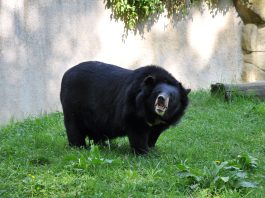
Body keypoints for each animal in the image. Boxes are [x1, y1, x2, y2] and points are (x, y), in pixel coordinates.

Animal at [59, 61, 189, 154]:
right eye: (156, 93)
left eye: (171, 96)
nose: (161, 99)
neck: (152, 113)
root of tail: (66, 73)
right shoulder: (133, 108)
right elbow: (137, 131)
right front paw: (143, 152)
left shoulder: (161, 123)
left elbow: (154, 134)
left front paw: (151, 148)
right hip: (73, 104)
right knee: (74, 126)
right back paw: (78, 147)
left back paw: (102, 145)